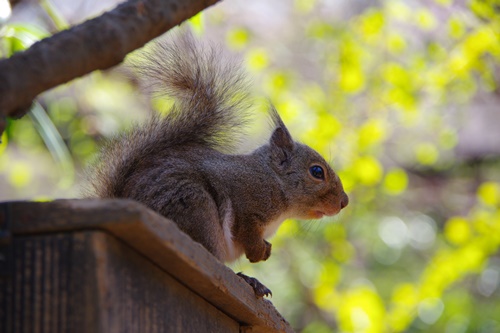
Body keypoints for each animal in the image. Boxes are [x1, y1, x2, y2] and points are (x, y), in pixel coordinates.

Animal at [87, 31, 348, 296]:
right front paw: (258, 251)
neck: (272, 180)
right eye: (317, 171)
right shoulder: (245, 201)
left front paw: (266, 249)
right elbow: (247, 230)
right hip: (196, 209)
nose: (344, 202)